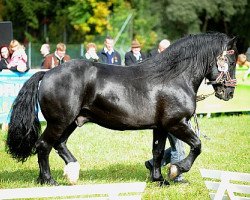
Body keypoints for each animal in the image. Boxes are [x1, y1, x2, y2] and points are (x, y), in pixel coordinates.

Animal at [5, 32, 236, 184]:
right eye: (232, 61)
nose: (229, 93)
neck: (174, 77)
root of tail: (47, 73)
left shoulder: (160, 127)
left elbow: (158, 152)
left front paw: (158, 179)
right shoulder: (176, 124)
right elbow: (197, 145)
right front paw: (176, 170)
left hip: (71, 121)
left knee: (59, 144)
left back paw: (70, 172)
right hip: (59, 122)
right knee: (43, 145)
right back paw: (48, 180)